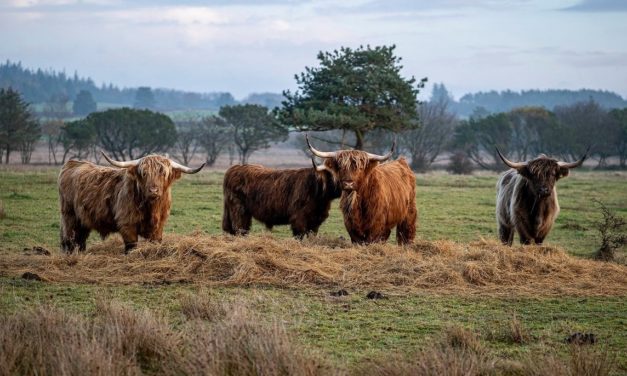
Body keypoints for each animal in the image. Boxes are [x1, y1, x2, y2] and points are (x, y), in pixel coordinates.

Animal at [58, 152, 204, 253]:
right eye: (144, 173)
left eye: (163, 173)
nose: (153, 190)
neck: (152, 209)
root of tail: (73, 163)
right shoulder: (127, 224)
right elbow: (131, 246)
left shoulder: (158, 227)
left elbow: (155, 243)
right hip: (69, 216)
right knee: (70, 239)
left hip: (83, 220)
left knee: (80, 239)